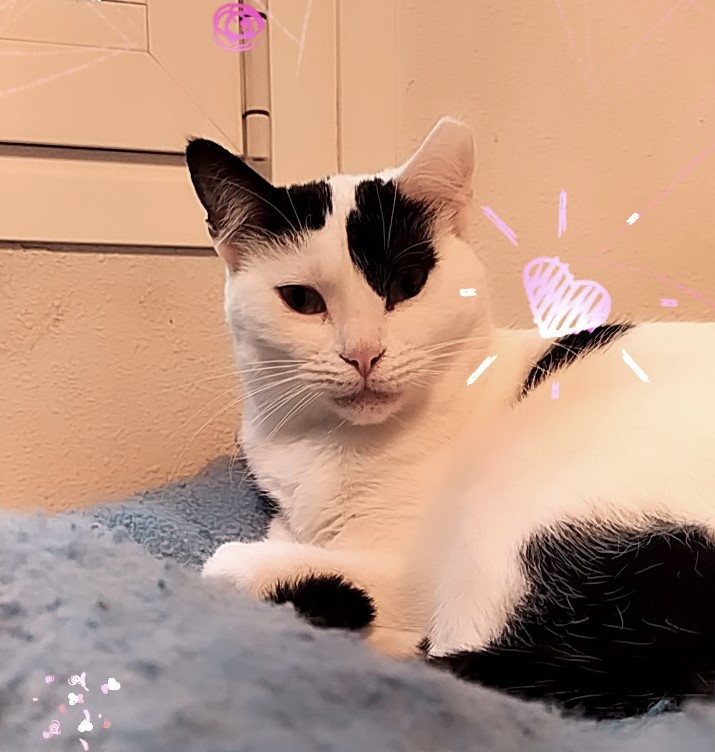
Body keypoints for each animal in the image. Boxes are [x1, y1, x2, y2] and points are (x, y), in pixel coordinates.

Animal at [186, 117, 715, 720]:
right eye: (301, 299)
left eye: (408, 283)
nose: (363, 354)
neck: (329, 446)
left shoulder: (406, 569)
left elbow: (227, 560)